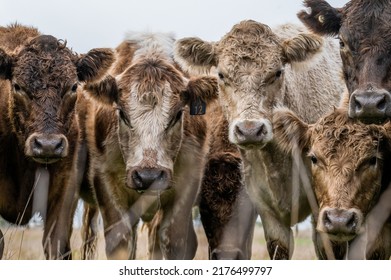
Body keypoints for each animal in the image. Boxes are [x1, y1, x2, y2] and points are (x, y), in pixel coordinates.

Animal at [81, 31, 256, 260]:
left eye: (177, 115)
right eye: (122, 114)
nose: (148, 176)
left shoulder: (187, 187)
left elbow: (175, 241)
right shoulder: (105, 183)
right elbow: (120, 243)